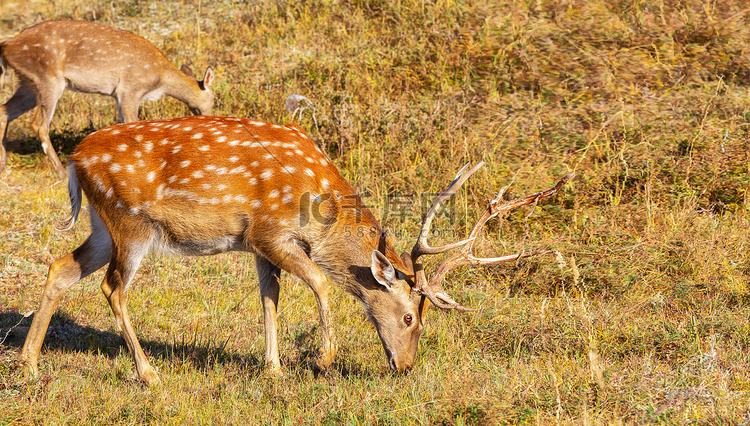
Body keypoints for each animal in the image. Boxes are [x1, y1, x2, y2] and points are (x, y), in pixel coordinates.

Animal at [0, 20, 217, 178]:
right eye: (213, 100)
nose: (210, 118)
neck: (160, 79)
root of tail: (7, 45)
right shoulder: (129, 89)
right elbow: (132, 125)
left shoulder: (119, 95)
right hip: (48, 78)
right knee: (39, 124)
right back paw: (61, 172)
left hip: (28, 83)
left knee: (4, 111)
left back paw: (3, 163)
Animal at [17, 115, 572, 384]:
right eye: (411, 317)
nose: (407, 366)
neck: (317, 206)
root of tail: (74, 159)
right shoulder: (268, 231)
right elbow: (322, 281)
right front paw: (323, 360)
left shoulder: (256, 245)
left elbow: (270, 297)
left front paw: (274, 367)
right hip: (131, 222)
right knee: (114, 288)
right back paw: (149, 374)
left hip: (102, 223)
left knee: (61, 266)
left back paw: (29, 362)